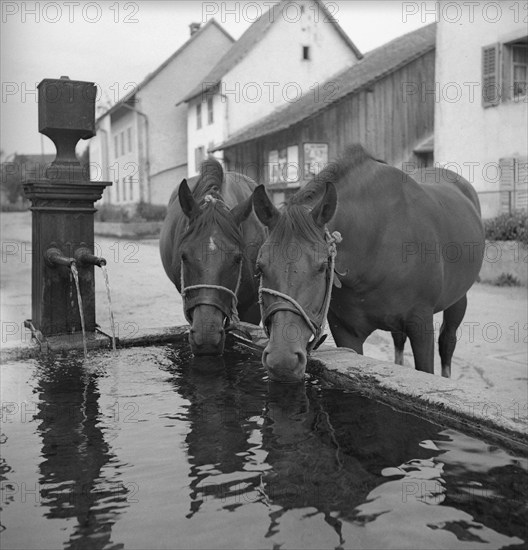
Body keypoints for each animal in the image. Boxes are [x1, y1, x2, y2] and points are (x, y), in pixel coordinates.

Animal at [254, 143, 484, 384]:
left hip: (458, 300)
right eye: (260, 267)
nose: (283, 360)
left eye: (323, 266)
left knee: (447, 342)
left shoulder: (421, 323)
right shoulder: (346, 333)